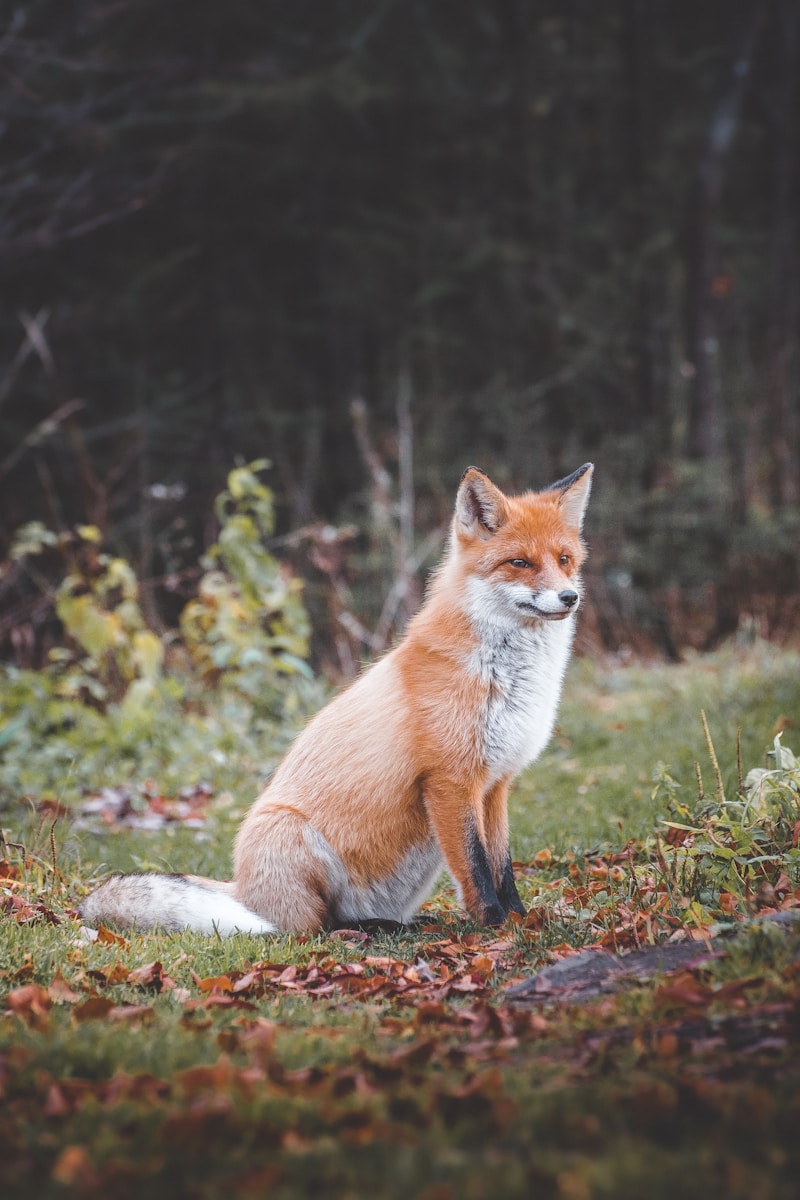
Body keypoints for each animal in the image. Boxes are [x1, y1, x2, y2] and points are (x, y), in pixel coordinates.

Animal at [80, 463, 593, 937]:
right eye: (520, 563)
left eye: (564, 559)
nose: (569, 597)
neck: (509, 679)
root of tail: (242, 891)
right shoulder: (450, 781)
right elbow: (476, 870)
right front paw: (496, 928)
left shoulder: (496, 782)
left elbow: (502, 867)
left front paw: (522, 921)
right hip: (290, 837)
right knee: (314, 928)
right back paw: (371, 930)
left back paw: (398, 925)